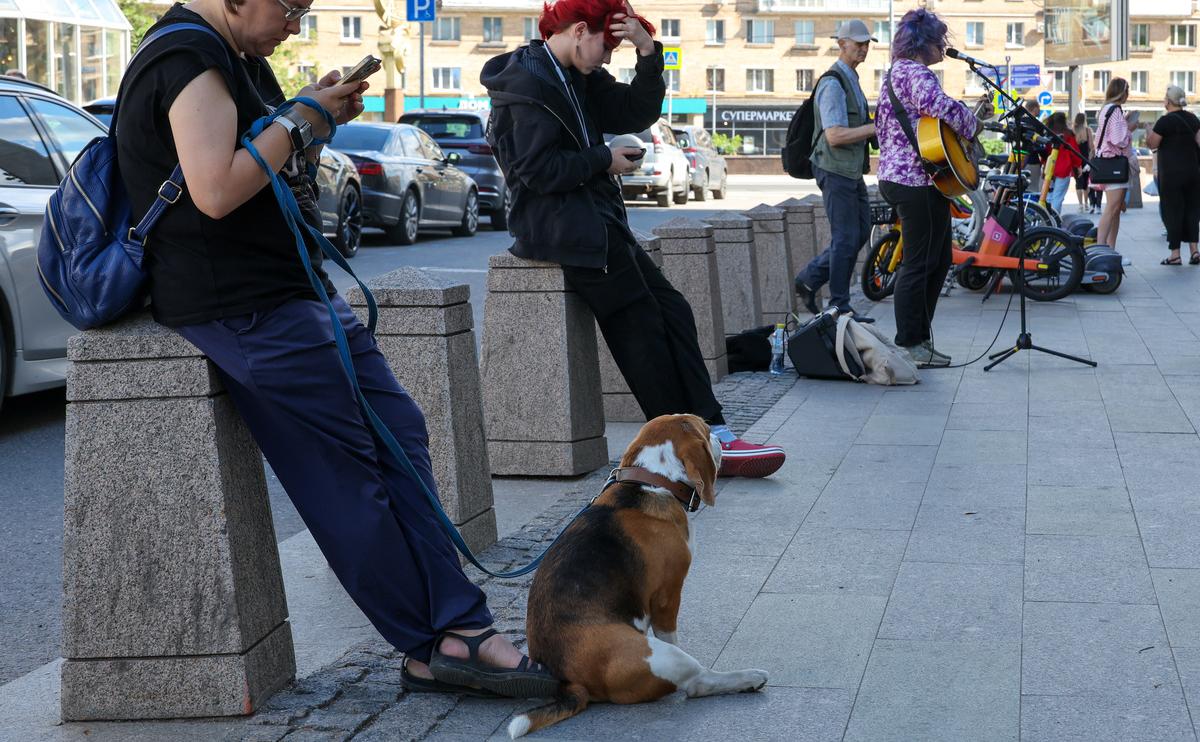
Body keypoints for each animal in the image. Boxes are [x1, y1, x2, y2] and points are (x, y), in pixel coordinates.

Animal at [506, 410, 768, 734]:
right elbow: (670, 631)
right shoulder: (668, 594)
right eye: (707, 431)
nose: (720, 439)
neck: (653, 482)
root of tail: (569, 681)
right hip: (663, 657)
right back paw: (748, 678)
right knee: (697, 682)